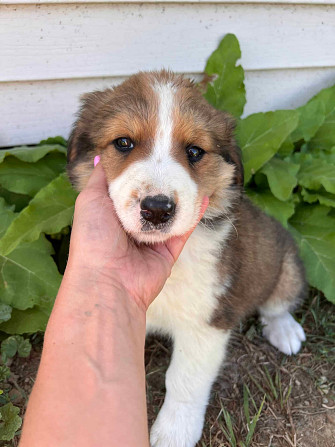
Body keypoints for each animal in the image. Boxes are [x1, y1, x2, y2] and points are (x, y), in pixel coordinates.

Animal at [67, 69, 308, 447]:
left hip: (285, 266)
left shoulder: (208, 322)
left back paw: (284, 331)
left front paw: (173, 432)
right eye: (123, 143)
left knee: (277, 303)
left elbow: (185, 379)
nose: (157, 209)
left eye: (195, 151)